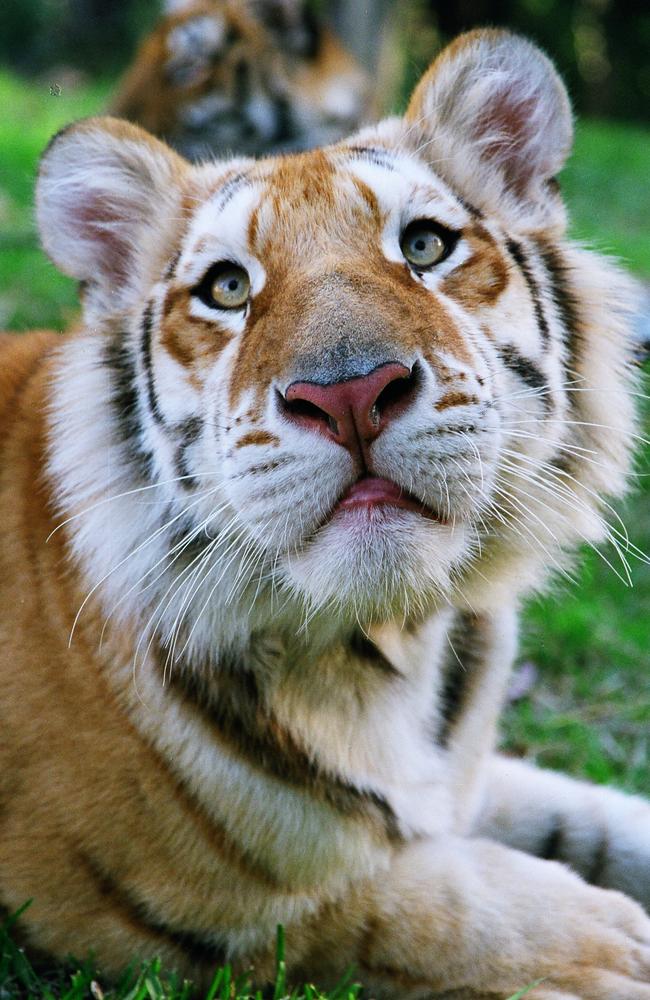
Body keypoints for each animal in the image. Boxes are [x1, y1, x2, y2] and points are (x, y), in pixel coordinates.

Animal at [1, 29, 648, 1000]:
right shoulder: (169, 914)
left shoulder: (462, 775)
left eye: (424, 244)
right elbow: (395, 902)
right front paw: (612, 941)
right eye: (227, 289)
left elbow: (590, 814)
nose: (348, 394)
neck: (395, 644)